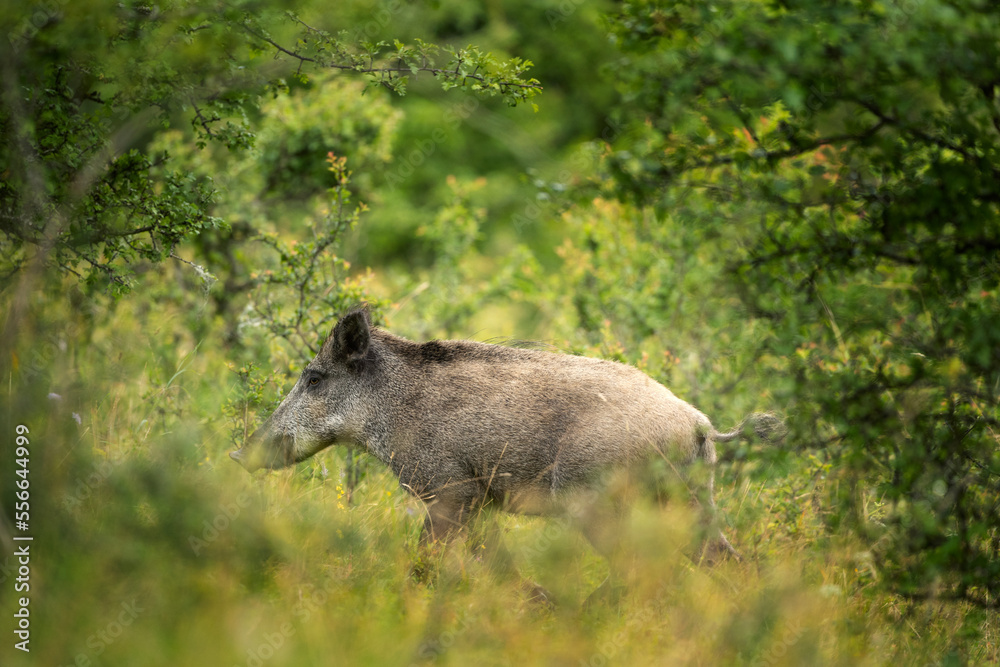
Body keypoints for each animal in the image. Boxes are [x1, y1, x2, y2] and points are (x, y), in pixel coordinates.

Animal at [230, 307, 783, 574]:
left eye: (314, 379)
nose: (240, 453)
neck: (393, 408)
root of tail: (700, 425)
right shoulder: (475, 501)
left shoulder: (450, 490)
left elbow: (428, 560)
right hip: (691, 503)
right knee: (726, 560)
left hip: (597, 502)